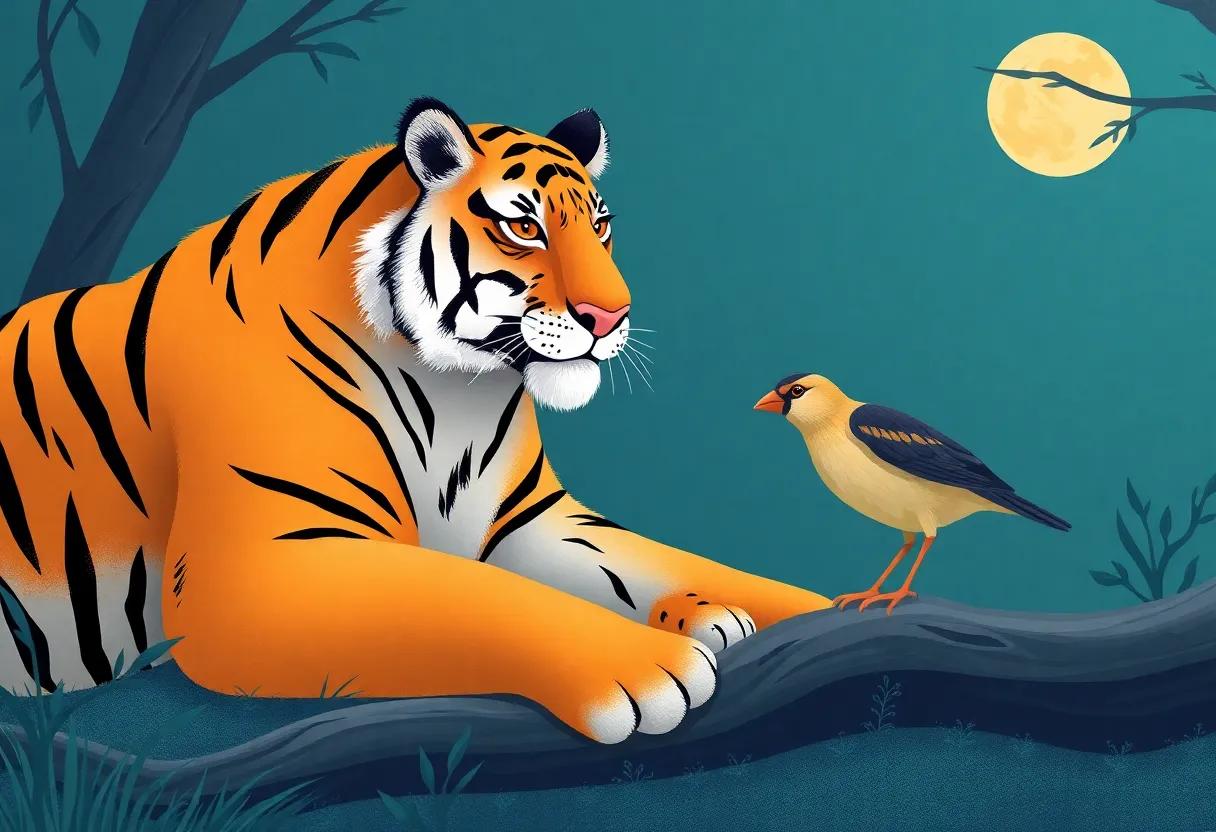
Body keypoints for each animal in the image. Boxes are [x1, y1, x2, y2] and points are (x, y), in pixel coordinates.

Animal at [0, 97, 830, 743]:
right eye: (525, 228)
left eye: (600, 226)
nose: (612, 315)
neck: (453, 387)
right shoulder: (263, 566)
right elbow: (480, 597)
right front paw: (647, 664)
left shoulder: (529, 519)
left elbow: (674, 565)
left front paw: (806, 610)